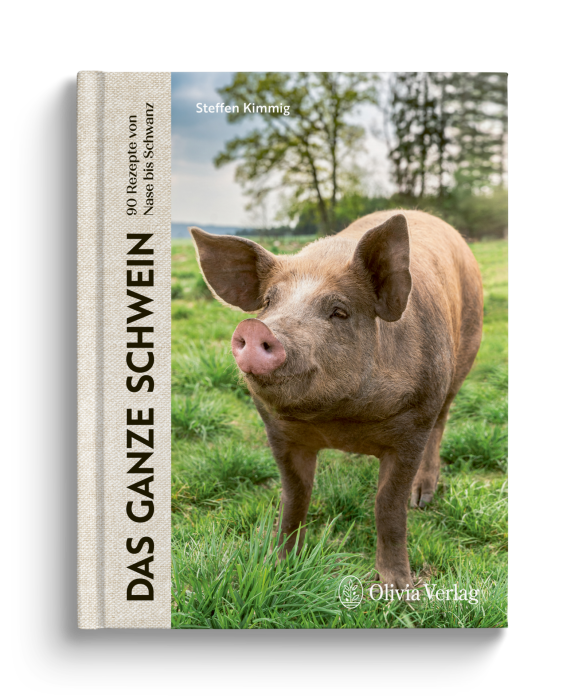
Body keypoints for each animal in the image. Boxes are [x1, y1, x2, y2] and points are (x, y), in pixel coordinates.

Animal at [189, 210, 483, 590]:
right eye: (268, 301)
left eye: (339, 311)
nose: (255, 328)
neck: (341, 421)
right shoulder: (278, 432)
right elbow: (294, 496)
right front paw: (278, 565)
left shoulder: (414, 425)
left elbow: (389, 506)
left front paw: (397, 589)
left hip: (459, 366)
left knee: (442, 424)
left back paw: (423, 499)